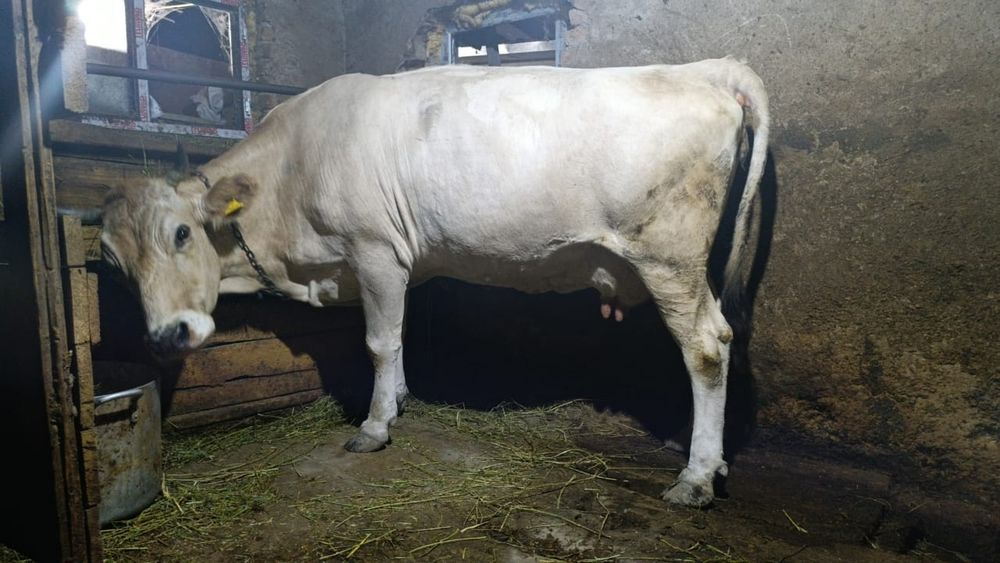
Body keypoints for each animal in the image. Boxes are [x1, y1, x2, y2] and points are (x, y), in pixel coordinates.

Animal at [93, 58, 769, 507]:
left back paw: (696, 476)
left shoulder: (374, 251)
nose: (167, 335)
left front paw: (373, 427)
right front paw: (397, 400)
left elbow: (377, 343)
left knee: (707, 348)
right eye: (112, 260)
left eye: (182, 233)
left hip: (669, 257)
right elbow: (398, 338)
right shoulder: (397, 263)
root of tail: (705, 69)